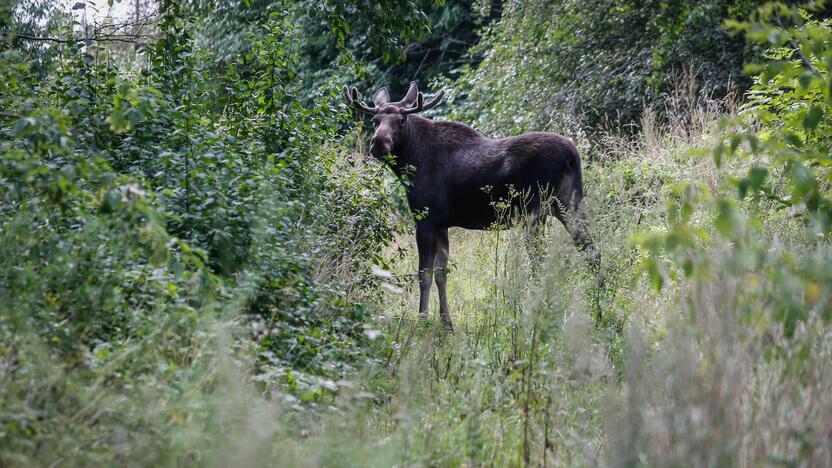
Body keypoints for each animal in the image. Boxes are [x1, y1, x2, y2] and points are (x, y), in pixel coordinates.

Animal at [344, 81, 600, 330]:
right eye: (375, 120)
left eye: (401, 120)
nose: (379, 143)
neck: (412, 161)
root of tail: (571, 154)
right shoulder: (442, 224)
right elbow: (442, 274)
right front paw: (446, 323)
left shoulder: (425, 219)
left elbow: (424, 274)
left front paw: (422, 320)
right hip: (568, 204)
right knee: (590, 248)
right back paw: (597, 300)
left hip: (535, 211)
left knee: (542, 260)